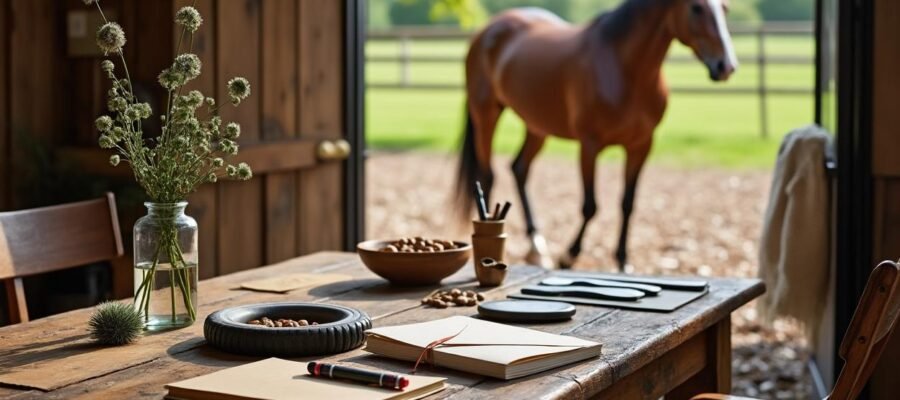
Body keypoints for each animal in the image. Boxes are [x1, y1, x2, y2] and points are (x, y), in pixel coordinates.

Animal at [455, 0, 737, 270]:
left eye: (725, 8)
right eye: (696, 8)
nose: (726, 66)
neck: (623, 68)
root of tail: (487, 30)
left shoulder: (641, 145)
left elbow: (627, 203)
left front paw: (623, 261)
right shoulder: (590, 145)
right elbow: (590, 205)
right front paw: (569, 256)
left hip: (537, 126)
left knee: (519, 169)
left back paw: (537, 247)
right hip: (486, 115)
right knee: (488, 175)